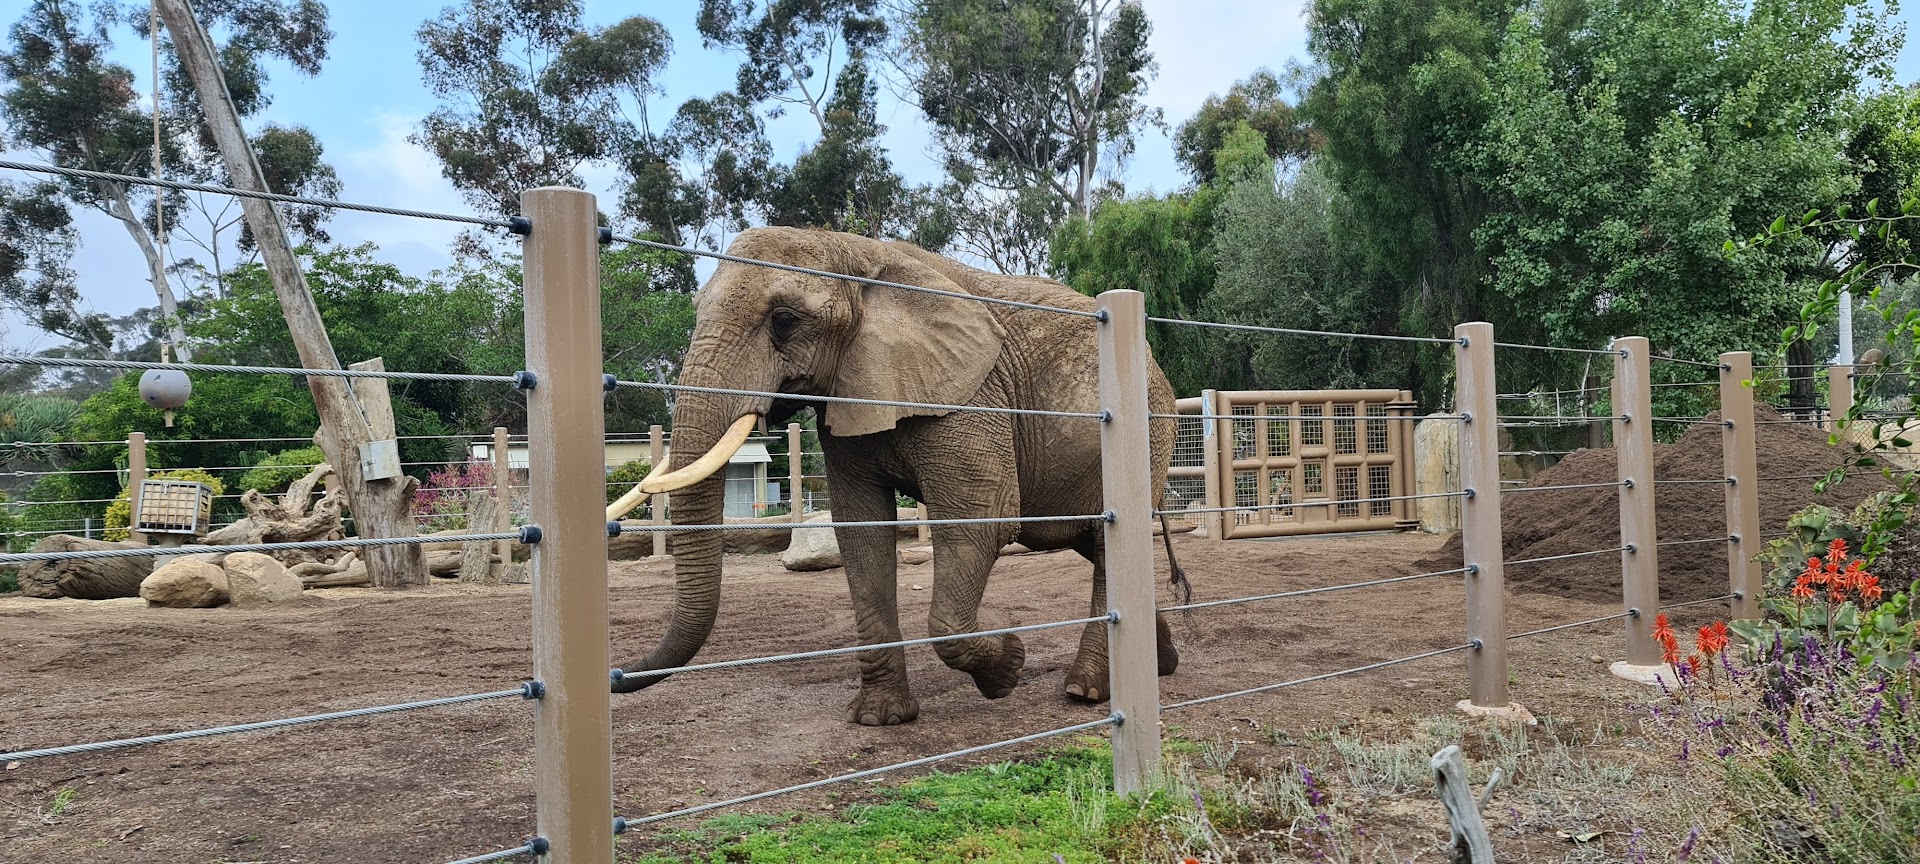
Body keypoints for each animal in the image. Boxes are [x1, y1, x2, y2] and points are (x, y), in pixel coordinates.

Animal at [610, 226, 1182, 725]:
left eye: (784, 320)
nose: (617, 675)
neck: (853, 253)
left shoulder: (971, 394)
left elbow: (982, 519)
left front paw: (1008, 669)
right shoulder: (847, 395)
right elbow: (861, 530)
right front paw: (880, 719)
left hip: (1149, 428)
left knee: (1108, 544)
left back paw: (1086, 690)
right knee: (1094, 543)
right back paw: (1162, 662)